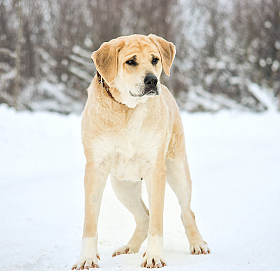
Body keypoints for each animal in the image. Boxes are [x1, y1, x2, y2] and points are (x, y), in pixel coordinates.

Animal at [72, 34, 210, 270]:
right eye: (131, 62)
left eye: (155, 59)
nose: (152, 81)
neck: (128, 109)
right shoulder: (95, 170)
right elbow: (90, 221)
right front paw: (87, 258)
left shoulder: (156, 170)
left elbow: (157, 220)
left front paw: (154, 256)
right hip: (122, 185)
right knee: (143, 216)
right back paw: (129, 248)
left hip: (178, 171)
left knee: (186, 212)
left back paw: (197, 243)